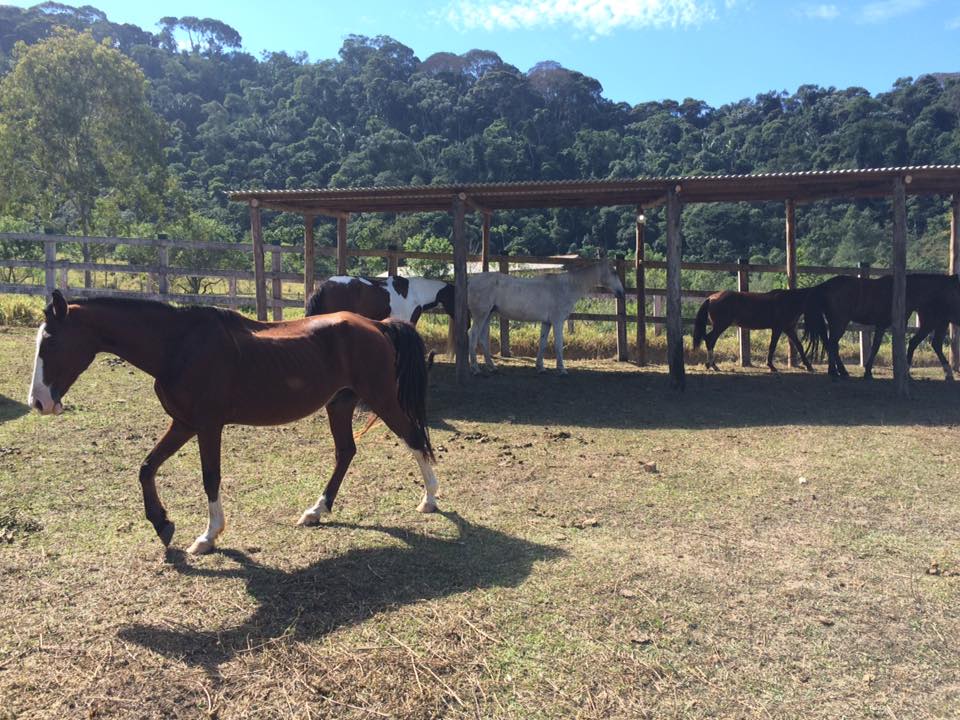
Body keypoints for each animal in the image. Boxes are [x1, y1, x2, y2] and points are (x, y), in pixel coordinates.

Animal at [27, 290, 439, 555]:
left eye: (51, 342)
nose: (38, 401)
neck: (176, 346)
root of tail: (376, 324)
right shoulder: (183, 423)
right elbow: (146, 467)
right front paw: (162, 524)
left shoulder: (208, 426)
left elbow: (210, 477)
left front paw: (208, 536)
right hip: (339, 404)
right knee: (346, 452)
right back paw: (316, 511)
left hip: (382, 399)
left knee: (414, 438)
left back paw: (430, 499)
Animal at [467, 260, 625, 375]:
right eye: (614, 272)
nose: (621, 293)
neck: (566, 287)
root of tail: (470, 281)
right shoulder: (558, 322)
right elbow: (558, 345)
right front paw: (562, 369)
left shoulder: (546, 323)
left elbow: (542, 343)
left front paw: (540, 367)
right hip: (481, 315)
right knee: (473, 335)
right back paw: (475, 368)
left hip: (487, 315)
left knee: (482, 337)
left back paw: (491, 366)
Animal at [804, 273, 960, 379]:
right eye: (955, 292)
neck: (905, 291)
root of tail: (824, 286)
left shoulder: (881, 326)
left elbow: (875, 347)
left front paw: (868, 371)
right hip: (839, 323)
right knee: (832, 344)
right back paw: (835, 372)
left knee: (831, 344)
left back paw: (840, 371)